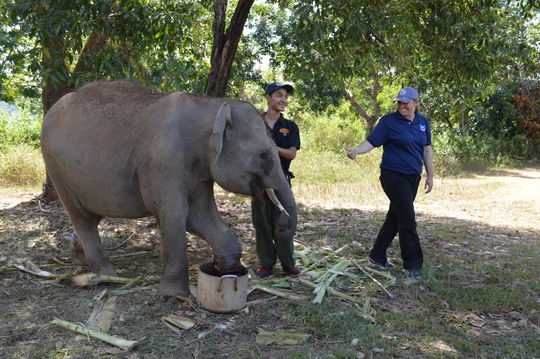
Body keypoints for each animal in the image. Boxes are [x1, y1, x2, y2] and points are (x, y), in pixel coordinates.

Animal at [40, 80, 298, 302]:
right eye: (263, 155)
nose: (281, 225)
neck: (211, 106)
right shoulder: (161, 162)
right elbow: (175, 214)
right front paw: (173, 297)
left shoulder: (200, 170)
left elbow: (199, 215)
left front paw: (227, 268)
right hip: (57, 168)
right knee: (82, 218)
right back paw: (107, 276)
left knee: (90, 217)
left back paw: (81, 261)